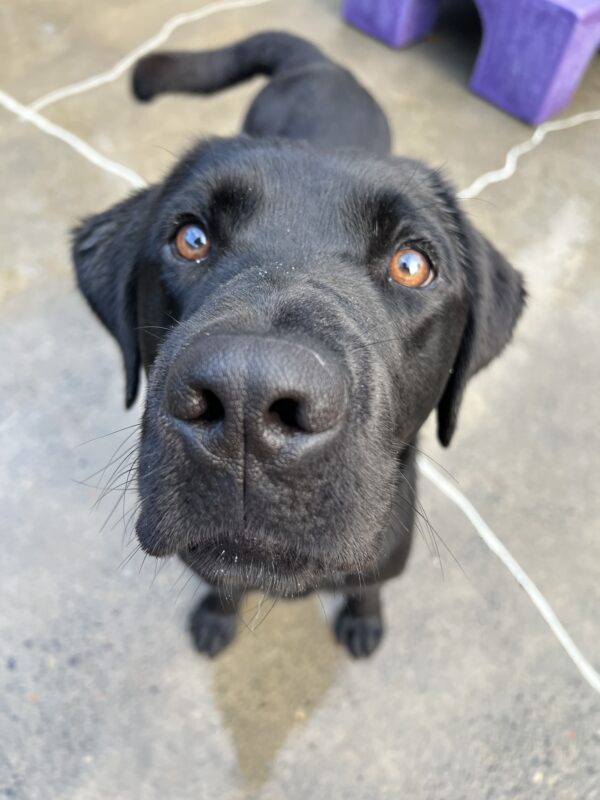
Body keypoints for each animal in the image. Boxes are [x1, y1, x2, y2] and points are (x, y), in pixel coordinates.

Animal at [74, 31, 524, 656]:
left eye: (411, 265)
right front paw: (217, 616)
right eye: (191, 238)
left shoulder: (385, 557)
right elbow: (225, 582)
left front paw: (363, 620)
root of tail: (317, 59)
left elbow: (365, 586)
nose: (247, 396)